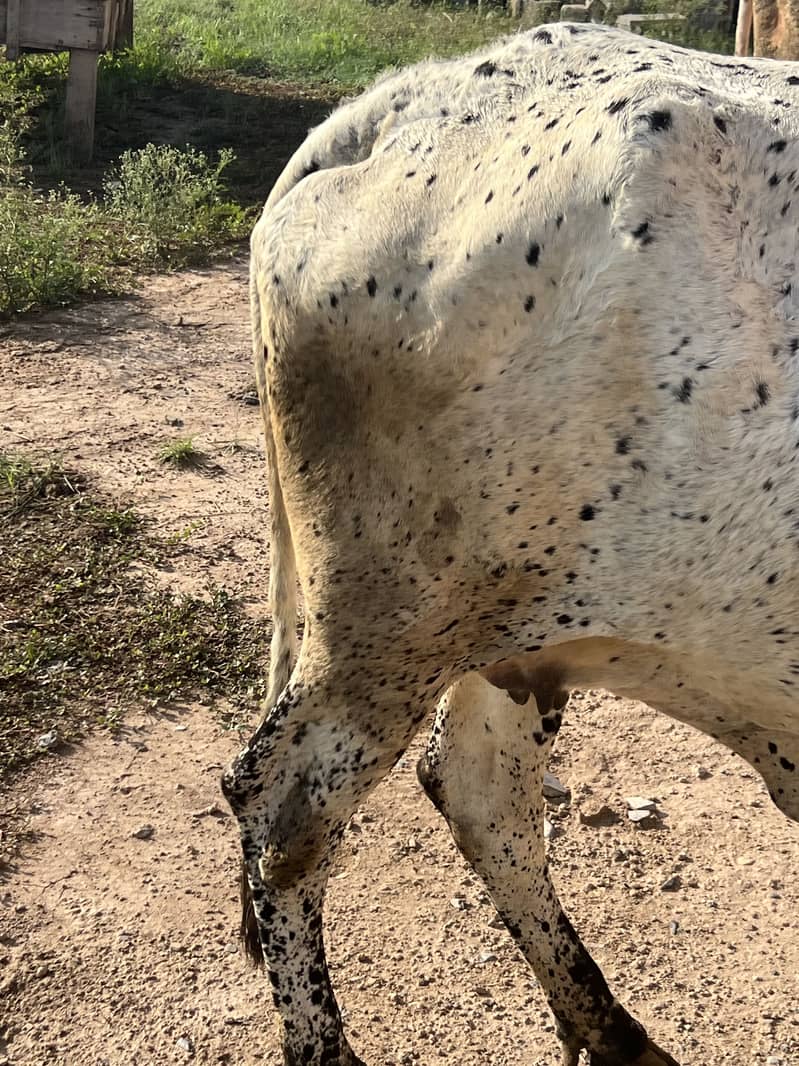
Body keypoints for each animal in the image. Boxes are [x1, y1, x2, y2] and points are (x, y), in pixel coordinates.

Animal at [221, 22, 799, 1066]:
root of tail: (402, 101)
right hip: (389, 624)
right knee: (283, 814)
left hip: (512, 625)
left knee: (476, 788)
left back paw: (609, 1028)